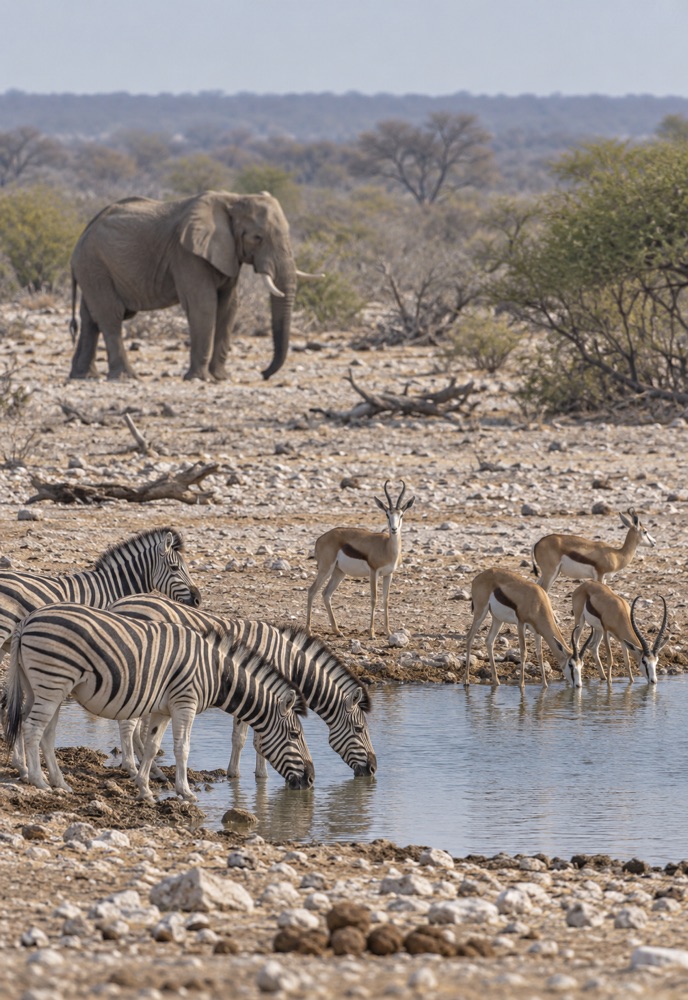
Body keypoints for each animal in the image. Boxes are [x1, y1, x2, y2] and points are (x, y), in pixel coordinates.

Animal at [4, 603, 315, 800]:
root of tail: (27, 620)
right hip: (53, 681)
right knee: (32, 729)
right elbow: (182, 748)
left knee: (43, 732)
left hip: (43, 686)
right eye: (294, 734)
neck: (216, 673)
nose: (311, 780)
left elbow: (153, 746)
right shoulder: (185, 703)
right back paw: (40, 782)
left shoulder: (163, 709)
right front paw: (185, 792)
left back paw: (58, 782)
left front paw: (145, 789)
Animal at [69, 190, 308, 381]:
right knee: (111, 315)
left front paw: (220, 377)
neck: (233, 198)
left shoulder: (227, 254)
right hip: (94, 264)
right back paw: (126, 377)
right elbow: (204, 305)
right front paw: (199, 378)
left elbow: (229, 306)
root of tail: (84, 232)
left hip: (92, 269)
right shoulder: (187, 255)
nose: (263, 374)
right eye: (257, 237)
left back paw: (84, 376)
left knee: (90, 318)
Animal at [108, 593, 377, 778]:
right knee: (128, 723)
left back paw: (148, 768)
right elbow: (248, 738)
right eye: (359, 729)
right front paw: (250, 775)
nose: (373, 769)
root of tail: (119, 603)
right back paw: (134, 768)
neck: (289, 662)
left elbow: (247, 736)